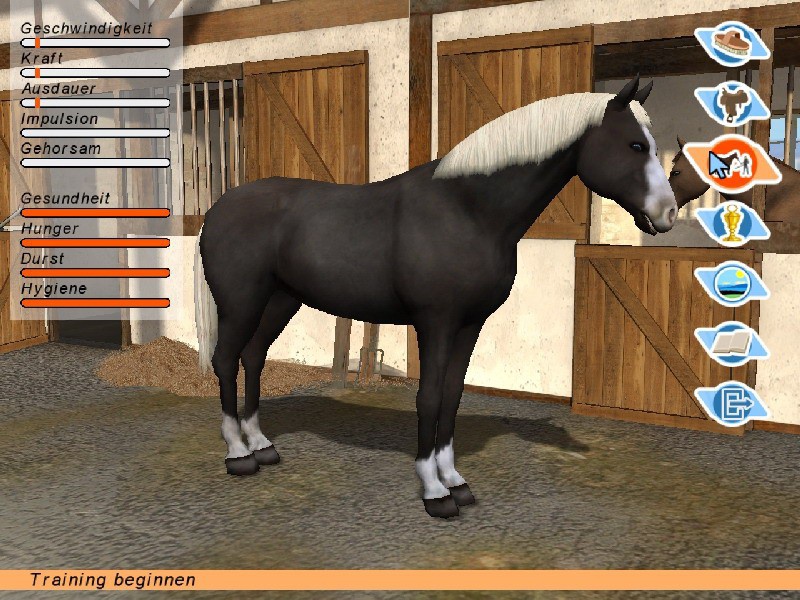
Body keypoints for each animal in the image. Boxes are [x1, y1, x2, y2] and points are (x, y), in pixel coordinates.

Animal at [193, 76, 677, 519]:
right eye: (636, 145)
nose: (669, 213)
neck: (469, 210)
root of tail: (219, 207)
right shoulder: (436, 322)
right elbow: (428, 397)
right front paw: (434, 491)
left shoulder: (469, 324)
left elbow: (452, 395)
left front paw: (456, 482)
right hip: (241, 302)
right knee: (226, 359)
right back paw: (238, 454)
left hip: (281, 300)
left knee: (253, 356)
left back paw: (262, 445)